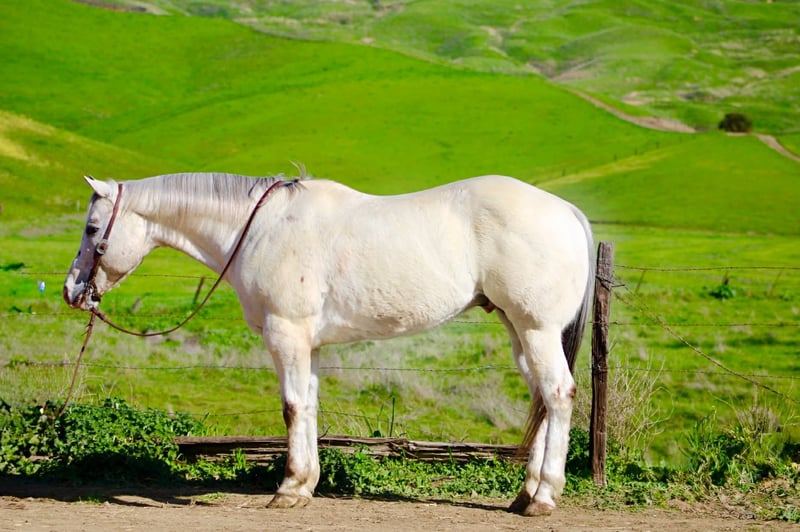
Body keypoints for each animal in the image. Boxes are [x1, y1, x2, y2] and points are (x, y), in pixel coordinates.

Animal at [63, 172, 594, 515]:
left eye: (92, 229)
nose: (72, 290)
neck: (261, 228)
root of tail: (567, 211)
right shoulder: (308, 344)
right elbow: (310, 407)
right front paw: (306, 484)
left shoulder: (286, 334)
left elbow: (292, 408)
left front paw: (288, 489)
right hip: (519, 331)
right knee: (542, 400)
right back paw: (524, 496)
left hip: (537, 329)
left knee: (559, 395)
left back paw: (544, 498)